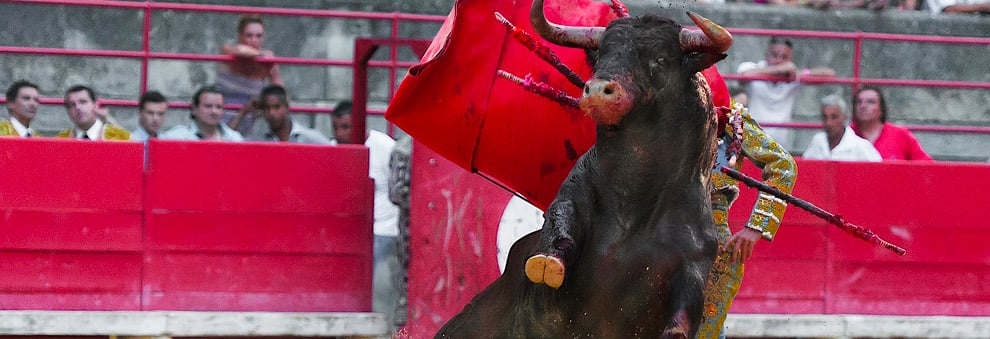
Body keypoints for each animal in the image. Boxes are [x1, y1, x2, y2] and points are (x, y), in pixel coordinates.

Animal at [438, 5, 732, 339]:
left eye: (660, 59)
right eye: (602, 55)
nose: (598, 91)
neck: (634, 204)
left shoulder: (694, 260)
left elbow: (684, 307)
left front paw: (675, 331)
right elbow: (561, 223)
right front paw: (548, 263)